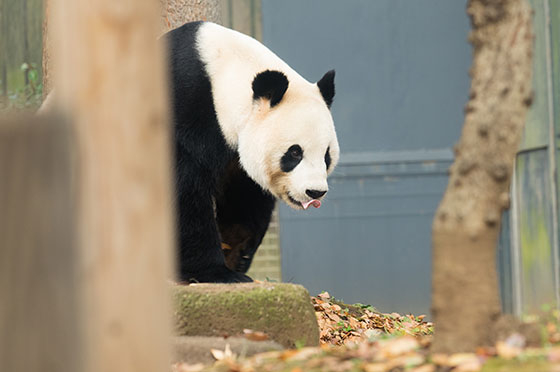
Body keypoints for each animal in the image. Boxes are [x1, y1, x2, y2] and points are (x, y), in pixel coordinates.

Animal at [165, 21, 342, 284]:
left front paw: (236, 253)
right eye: (295, 153)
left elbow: (243, 192)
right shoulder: (185, 112)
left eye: (326, 155)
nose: (315, 192)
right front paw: (216, 272)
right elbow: (184, 189)